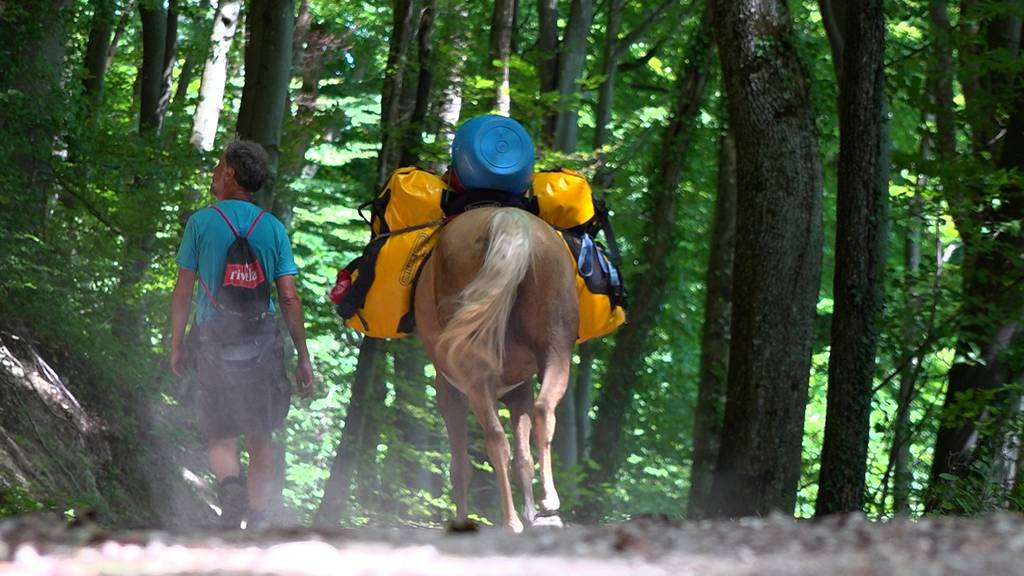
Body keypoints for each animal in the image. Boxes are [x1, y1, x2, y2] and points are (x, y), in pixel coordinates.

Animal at [413, 204, 577, 528]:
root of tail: (508, 218)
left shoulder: (449, 391)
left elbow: (460, 466)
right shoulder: (520, 390)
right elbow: (523, 458)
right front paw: (531, 513)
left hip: (473, 375)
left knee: (495, 440)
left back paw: (512, 522)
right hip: (556, 348)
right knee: (543, 410)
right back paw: (548, 505)